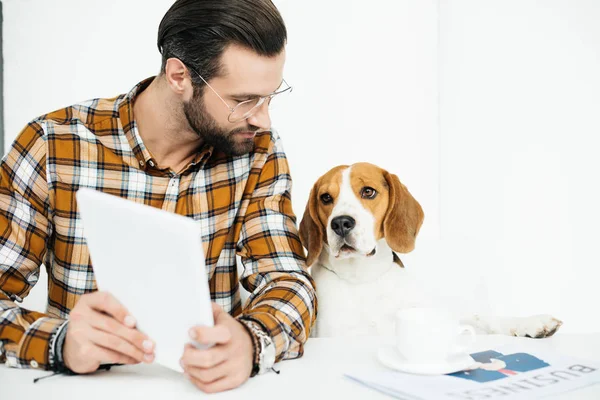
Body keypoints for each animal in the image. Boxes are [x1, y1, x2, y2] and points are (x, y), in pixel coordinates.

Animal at [300, 164, 564, 340]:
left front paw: (530, 323)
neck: (364, 278)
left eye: (368, 191)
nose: (340, 223)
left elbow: (482, 317)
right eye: (326, 198)